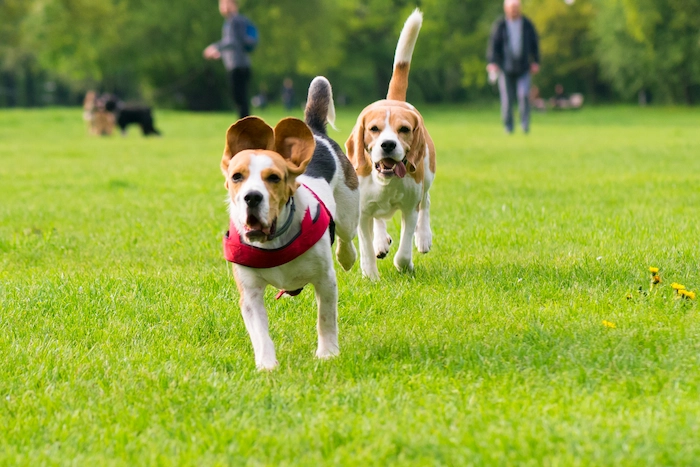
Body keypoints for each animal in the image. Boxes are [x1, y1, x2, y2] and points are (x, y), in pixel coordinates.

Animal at [220, 77, 360, 372]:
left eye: (274, 178)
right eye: (237, 176)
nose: (252, 197)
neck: (274, 242)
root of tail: (315, 132)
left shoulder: (324, 279)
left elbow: (325, 318)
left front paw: (327, 353)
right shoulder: (249, 291)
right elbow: (260, 332)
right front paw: (267, 364)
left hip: (349, 210)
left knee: (347, 238)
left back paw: (347, 257)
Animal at [346, 10, 438, 282]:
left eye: (404, 129)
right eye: (374, 129)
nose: (387, 145)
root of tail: (394, 99)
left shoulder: (409, 208)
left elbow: (405, 248)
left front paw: (404, 265)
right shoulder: (362, 212)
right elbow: (365, 244)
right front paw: (370, 273)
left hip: (427, 173)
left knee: (426, 202)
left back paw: (424, 237)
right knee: (379, 220)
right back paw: (380, 242)